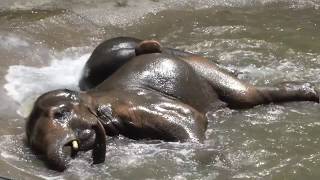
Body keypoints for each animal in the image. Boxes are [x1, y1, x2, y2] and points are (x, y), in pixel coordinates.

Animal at [25, 37, 320, 172]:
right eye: (34, 145)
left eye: (61, 113)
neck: (93, 99)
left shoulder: (137, 103)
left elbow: (192, 119)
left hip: (203, 69)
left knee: (250, 95)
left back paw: (311, 91)